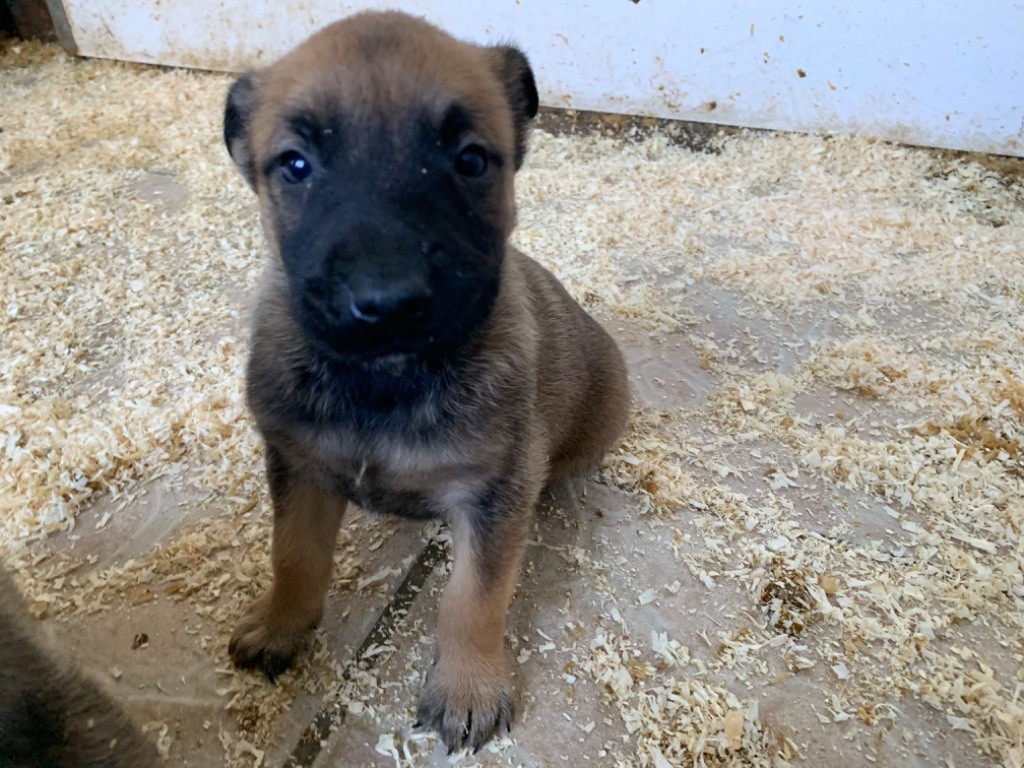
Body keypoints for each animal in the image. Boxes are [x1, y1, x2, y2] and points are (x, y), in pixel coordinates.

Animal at [222, 12, 630, 753]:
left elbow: (472, 600)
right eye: (295, 164)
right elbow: (294, 556)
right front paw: (281, 625)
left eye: (470, 161)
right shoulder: (300, 467)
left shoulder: (495, 494)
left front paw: (468, 687)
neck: (385, 380)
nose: (386, 303)